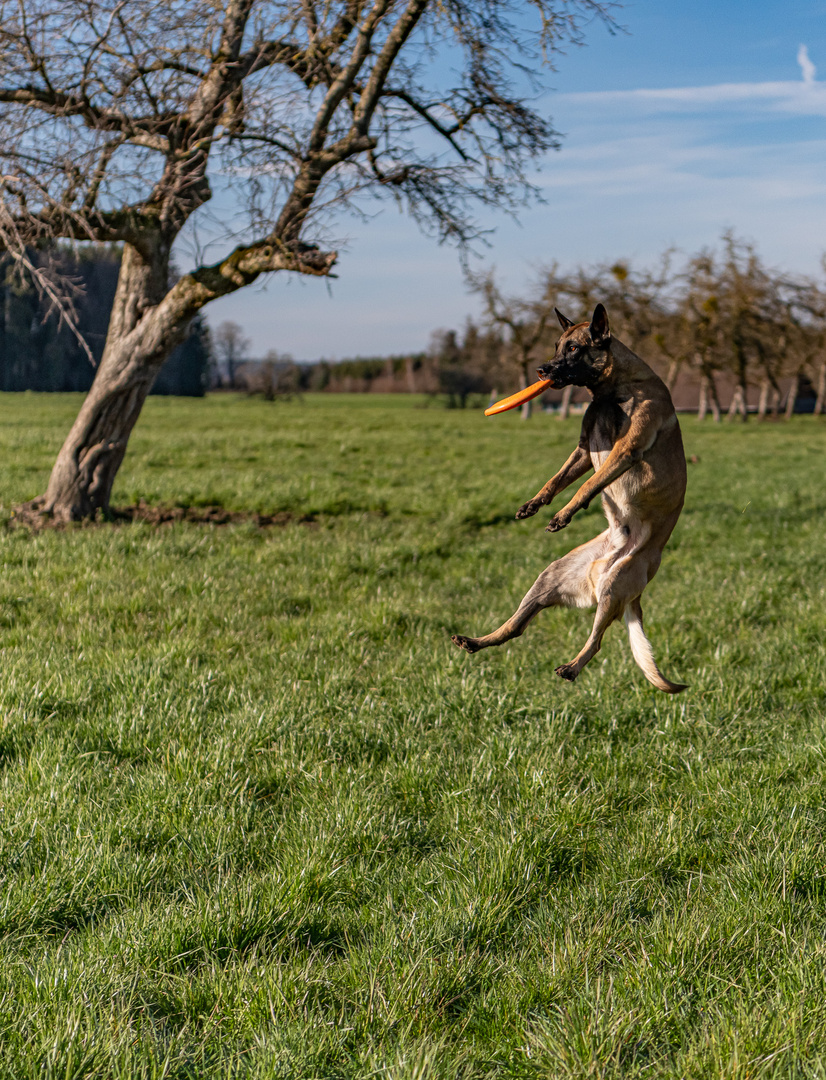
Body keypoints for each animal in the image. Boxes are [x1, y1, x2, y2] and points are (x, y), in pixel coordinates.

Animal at [447, 302, 686, 691]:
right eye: (557, 346)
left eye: (573, 348)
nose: (542, 370)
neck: (612, 390)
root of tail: (606, 564)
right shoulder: (586, 450)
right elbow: (556, 480)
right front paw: (534, 504)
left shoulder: (624, 451)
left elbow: (587, 486)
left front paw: (563, 514)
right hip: (550, 577)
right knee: (515, 628)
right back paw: (475, 641)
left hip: (615, 585)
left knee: (598, 640)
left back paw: (572, 667)